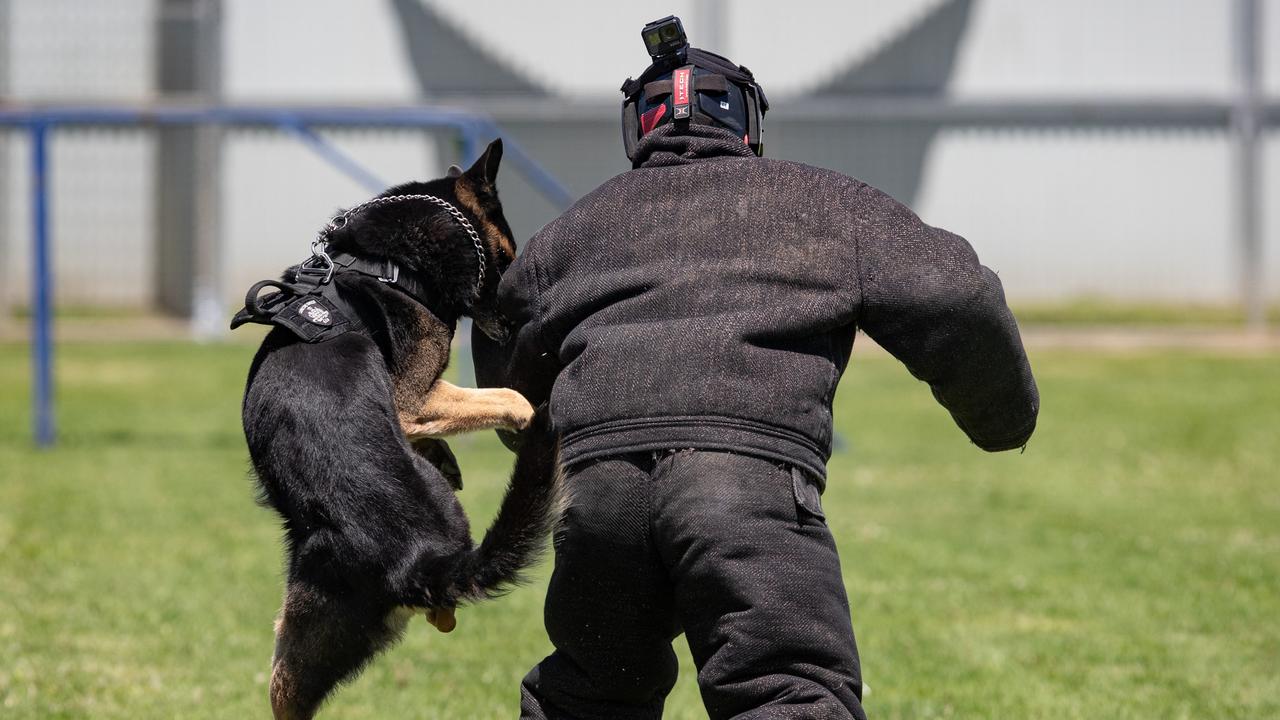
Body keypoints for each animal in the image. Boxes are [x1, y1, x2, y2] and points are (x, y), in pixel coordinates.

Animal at [240, 139, 560, 712]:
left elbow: (487, 404)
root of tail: (423, 563)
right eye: (508, 257)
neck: (389, 266)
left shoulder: (415, 403)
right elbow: (510, 397)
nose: (516, 322)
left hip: (295, 650)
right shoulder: (414, 400)